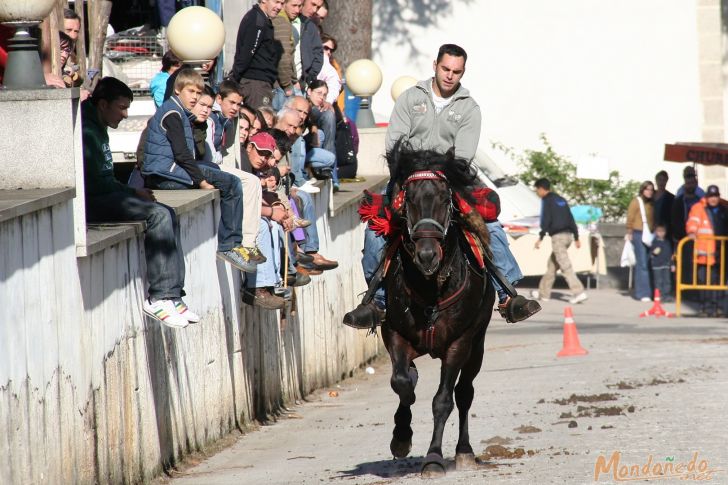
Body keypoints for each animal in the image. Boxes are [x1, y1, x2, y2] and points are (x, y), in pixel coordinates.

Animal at [382, 145, 494, 476]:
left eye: (446, 199)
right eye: (409, 200)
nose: (427, 255)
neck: (431, 287)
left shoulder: (460, 342)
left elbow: (443, 400)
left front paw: (433, 458)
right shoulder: (393, 333)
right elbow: (401, 382)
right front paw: (401, 436)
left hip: (477, 345)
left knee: (465, 393)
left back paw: (464, 451)